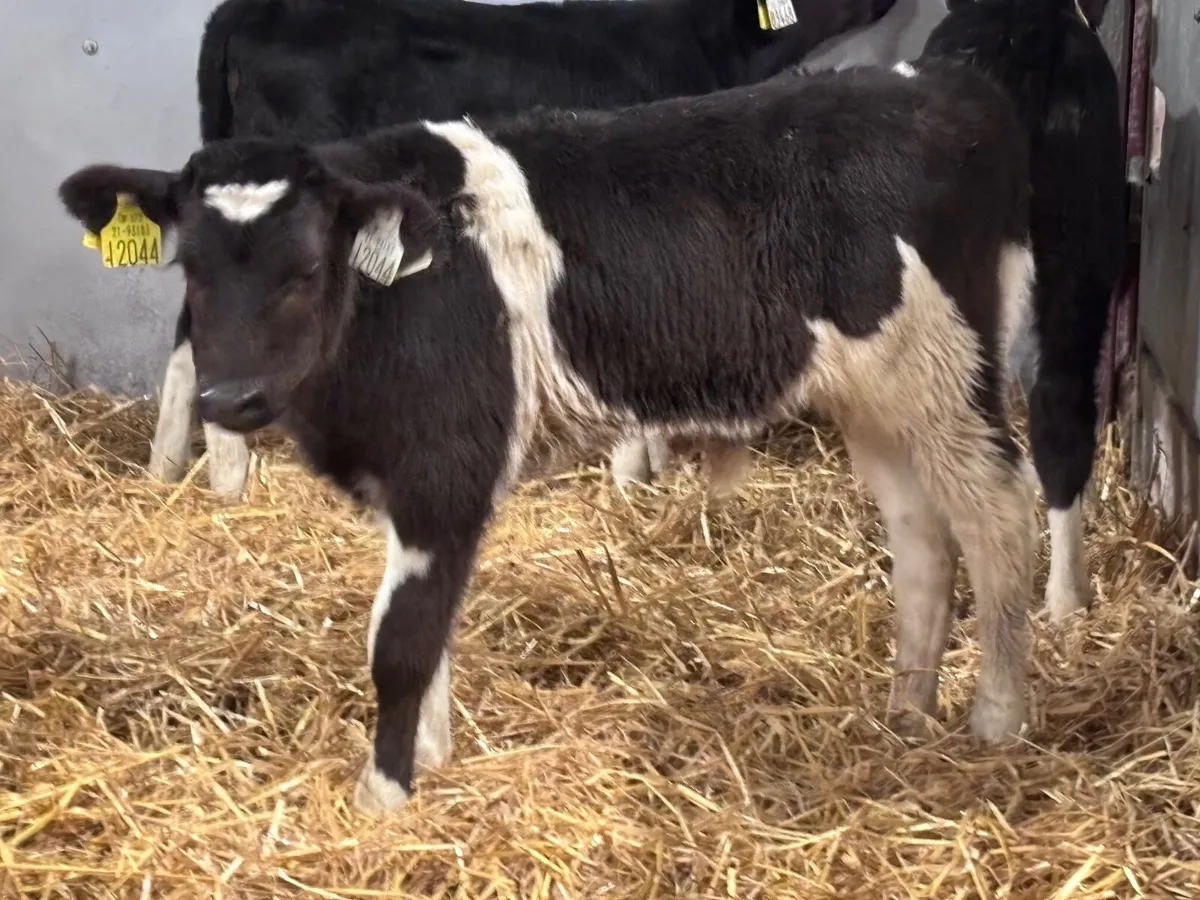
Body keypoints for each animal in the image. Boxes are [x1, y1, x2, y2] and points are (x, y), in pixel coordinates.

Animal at [60, 59, 1037, 814]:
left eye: (305, 269)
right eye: (189, 267)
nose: (230, 397)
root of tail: (938, 84)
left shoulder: (446, 467)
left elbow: (401, 642)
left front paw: (384, 797)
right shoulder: (405, 485)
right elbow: (426, 628)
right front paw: (432, 760)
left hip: (949, 377)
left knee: (998, 518)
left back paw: (997, 717)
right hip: (880, 401)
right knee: (921, 539)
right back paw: (906, 713)